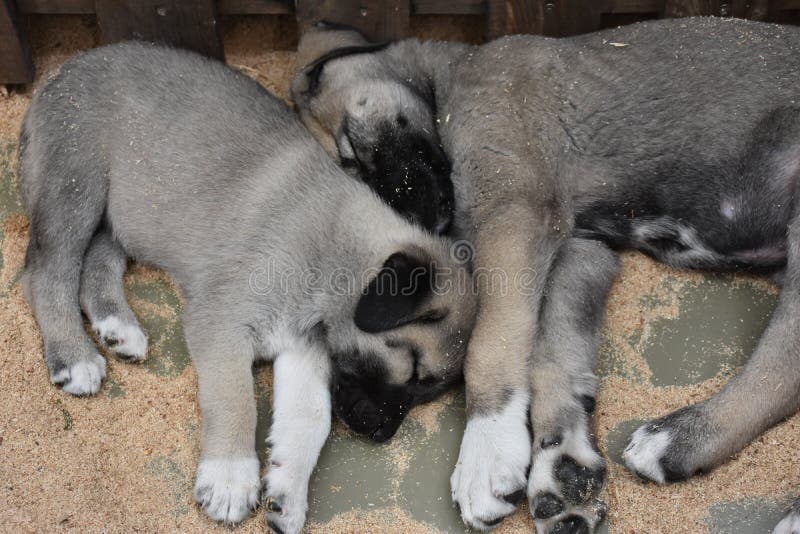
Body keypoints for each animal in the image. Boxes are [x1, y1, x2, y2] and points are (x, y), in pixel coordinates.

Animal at [20, 42, 476, 534]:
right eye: (412, 367)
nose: (380, 433)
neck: (332, 253)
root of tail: (65, 70)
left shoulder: (303, 348)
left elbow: (309, 419)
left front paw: (288, 492)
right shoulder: (220, 325)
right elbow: (235, 397)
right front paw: (230, 478)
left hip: (122, 213)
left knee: (96, 262)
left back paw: (117, 326)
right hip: (77, 185)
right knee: (47, 271)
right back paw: (74, 355)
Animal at [296, 17, 800, 534]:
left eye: (353, 152)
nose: (414, 226)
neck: (449, 76)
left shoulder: (513, 214)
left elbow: (491, 343)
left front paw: (487, 446)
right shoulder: (581, 249)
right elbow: (551, 355)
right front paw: (564, 465)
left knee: (781, 365)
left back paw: (681, 440)